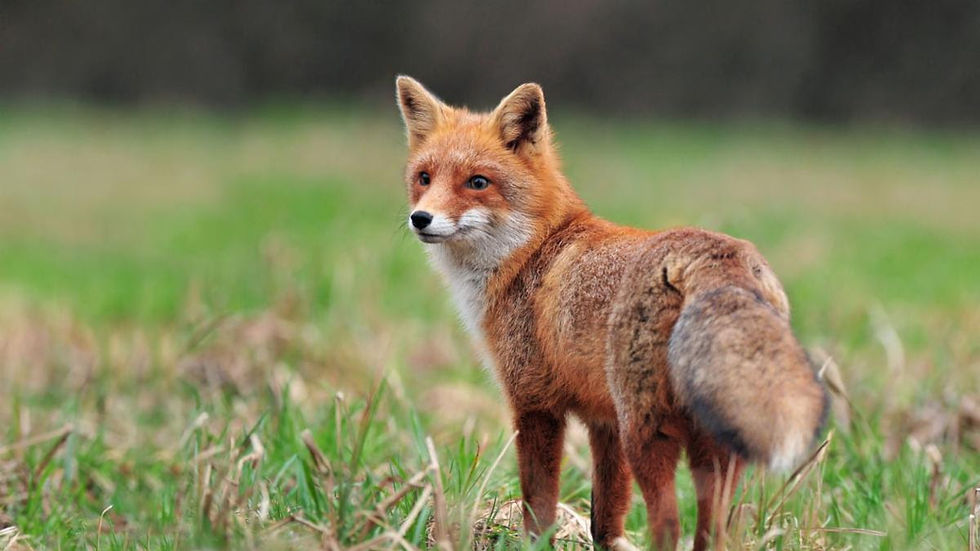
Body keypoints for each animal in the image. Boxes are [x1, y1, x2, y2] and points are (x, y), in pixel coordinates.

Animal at [395, 76, 828, 551]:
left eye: (477, 182)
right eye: (424, 178)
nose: (421, 218)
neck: (532, 252)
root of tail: (717, 255)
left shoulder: (535, 403)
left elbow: (539, 504)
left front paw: (534, 542)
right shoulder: (604, 420)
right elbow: (606, 514)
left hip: (649, 434)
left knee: (668, 525)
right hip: (709, 446)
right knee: (712, 532)